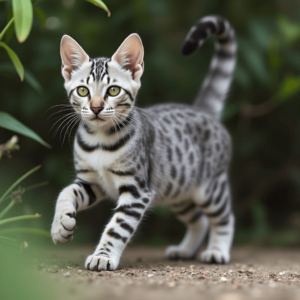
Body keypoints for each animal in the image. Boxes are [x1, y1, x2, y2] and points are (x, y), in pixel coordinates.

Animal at [50, 14, 236, 272]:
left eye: (113, 90)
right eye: (83, 91)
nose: (96, 107)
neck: (100, 140)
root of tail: (202, 110)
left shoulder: (137, 190)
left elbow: (117, 227)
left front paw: (103, 256)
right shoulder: (91, 182)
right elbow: (65, 192)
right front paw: (60, 226)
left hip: (209, 189)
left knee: (224, 218)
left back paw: (217, 251)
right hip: (177, 189)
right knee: (199, 220)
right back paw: (185, 250)